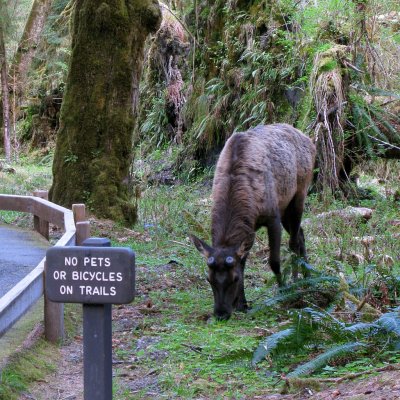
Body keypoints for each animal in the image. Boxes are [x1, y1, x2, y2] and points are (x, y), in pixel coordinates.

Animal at [191, 123, 316, 320]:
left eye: (233, 278)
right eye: (208, 279)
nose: (221, 313)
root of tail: (308, 139)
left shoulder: (272, 217)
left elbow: (274, 261)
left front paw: (283, 292)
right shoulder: (250, 226)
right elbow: (242, 262)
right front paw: (242, 304)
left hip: (299, 195)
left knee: (294, 241)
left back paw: (298, 282)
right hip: (285, 207)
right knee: (301, 234)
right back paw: (308, 277)